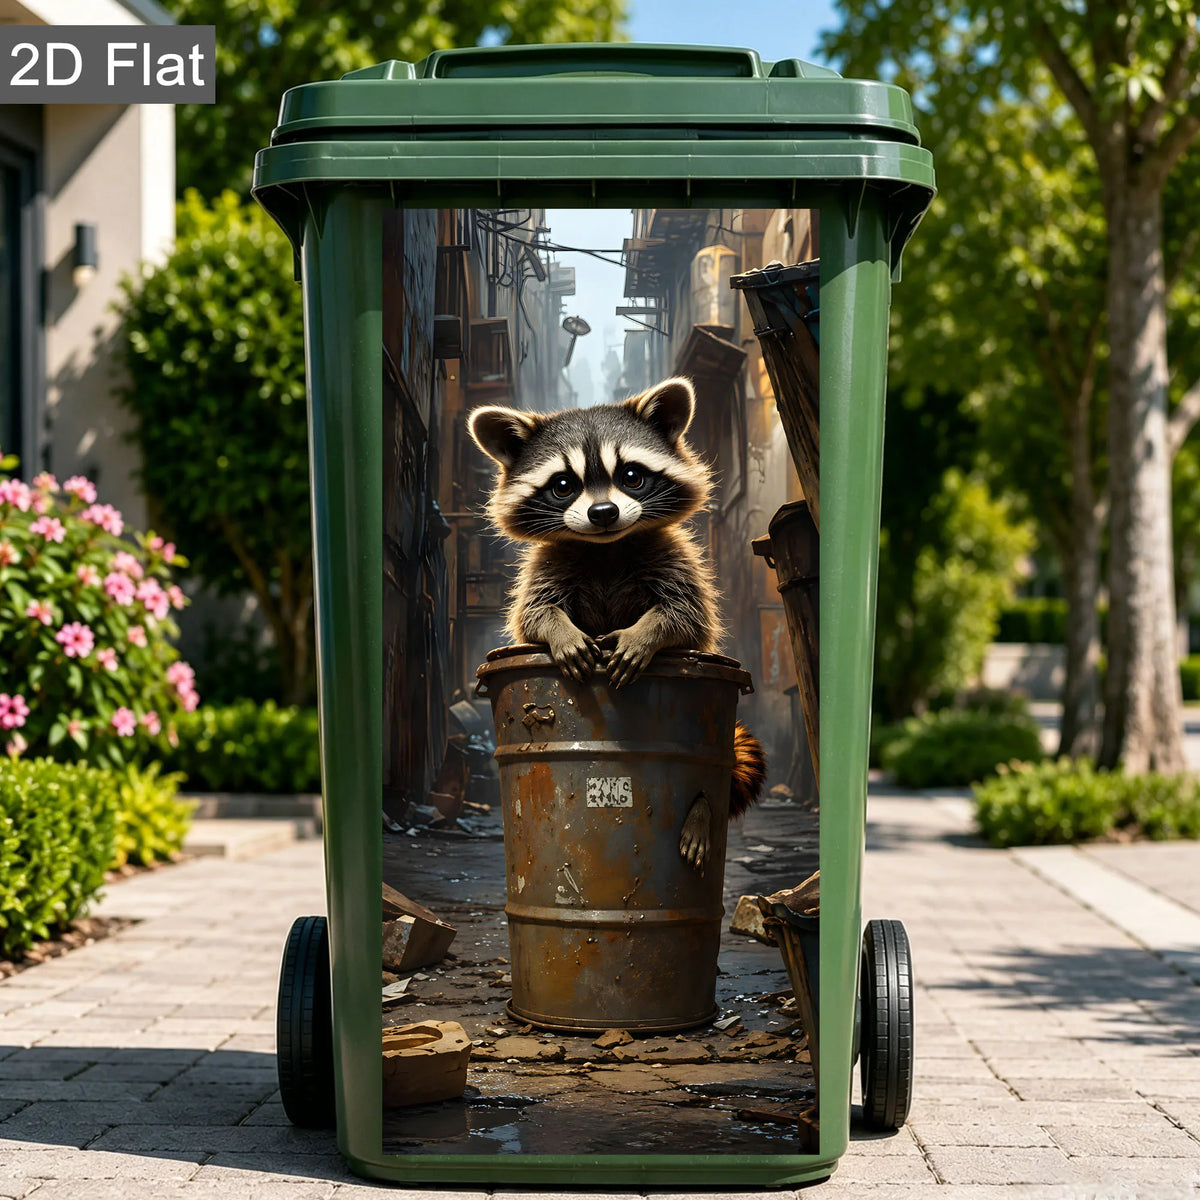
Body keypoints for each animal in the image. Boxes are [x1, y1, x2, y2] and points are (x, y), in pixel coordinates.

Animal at [468, 376, 767, 871]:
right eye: (563, 485)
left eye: (631, 476)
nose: (603, 513)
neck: (606, 548)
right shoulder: (549, 564)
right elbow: (533, 613)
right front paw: (561, 632)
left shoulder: (673, 557)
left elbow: (686, 616)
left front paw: (645, 633)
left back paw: (701, 813)